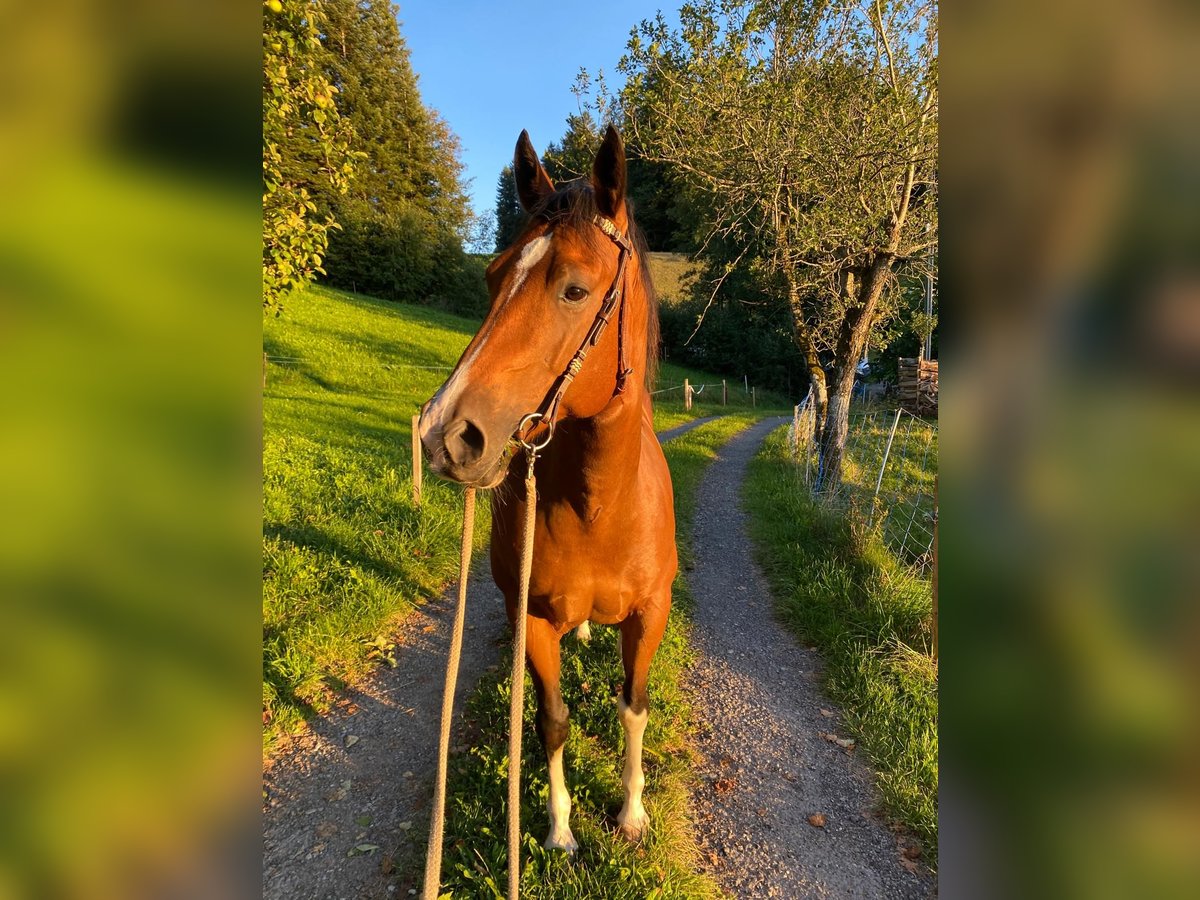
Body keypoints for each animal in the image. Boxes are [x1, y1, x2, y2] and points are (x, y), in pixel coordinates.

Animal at [418, 125, 676, 852]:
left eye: (575, 290)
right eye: (493, 275)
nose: (445, 435)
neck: (601, 507)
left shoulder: (650, 616)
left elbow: (634, 707)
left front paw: (631, 812)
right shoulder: (530, 619)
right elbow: (552, 719)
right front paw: (561, 827)